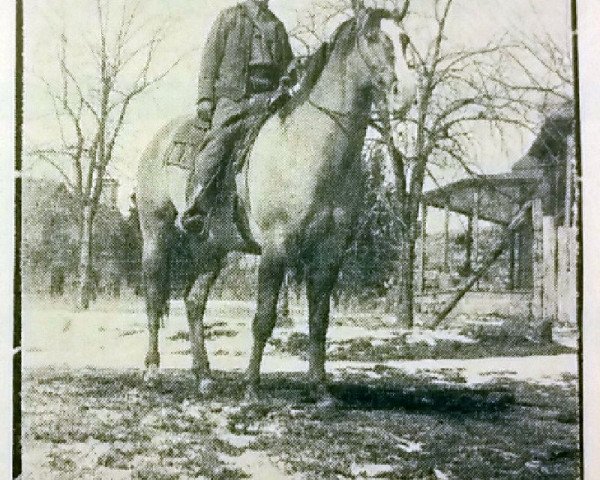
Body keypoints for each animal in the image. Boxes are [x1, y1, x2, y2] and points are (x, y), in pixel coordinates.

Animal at [136, 7, 418, 404]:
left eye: (404, 38)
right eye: (374, 38)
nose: (405, 92)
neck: (308, 144)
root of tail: (159, 140)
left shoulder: (330, 251)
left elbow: (319, 322)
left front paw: (320, 389)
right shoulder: (276, 247)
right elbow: (264, 318)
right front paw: (252, 387)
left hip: (213, 248)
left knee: (193, 303)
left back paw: (204, 377)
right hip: (156, 235)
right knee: (153, 300)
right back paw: (151, 372)